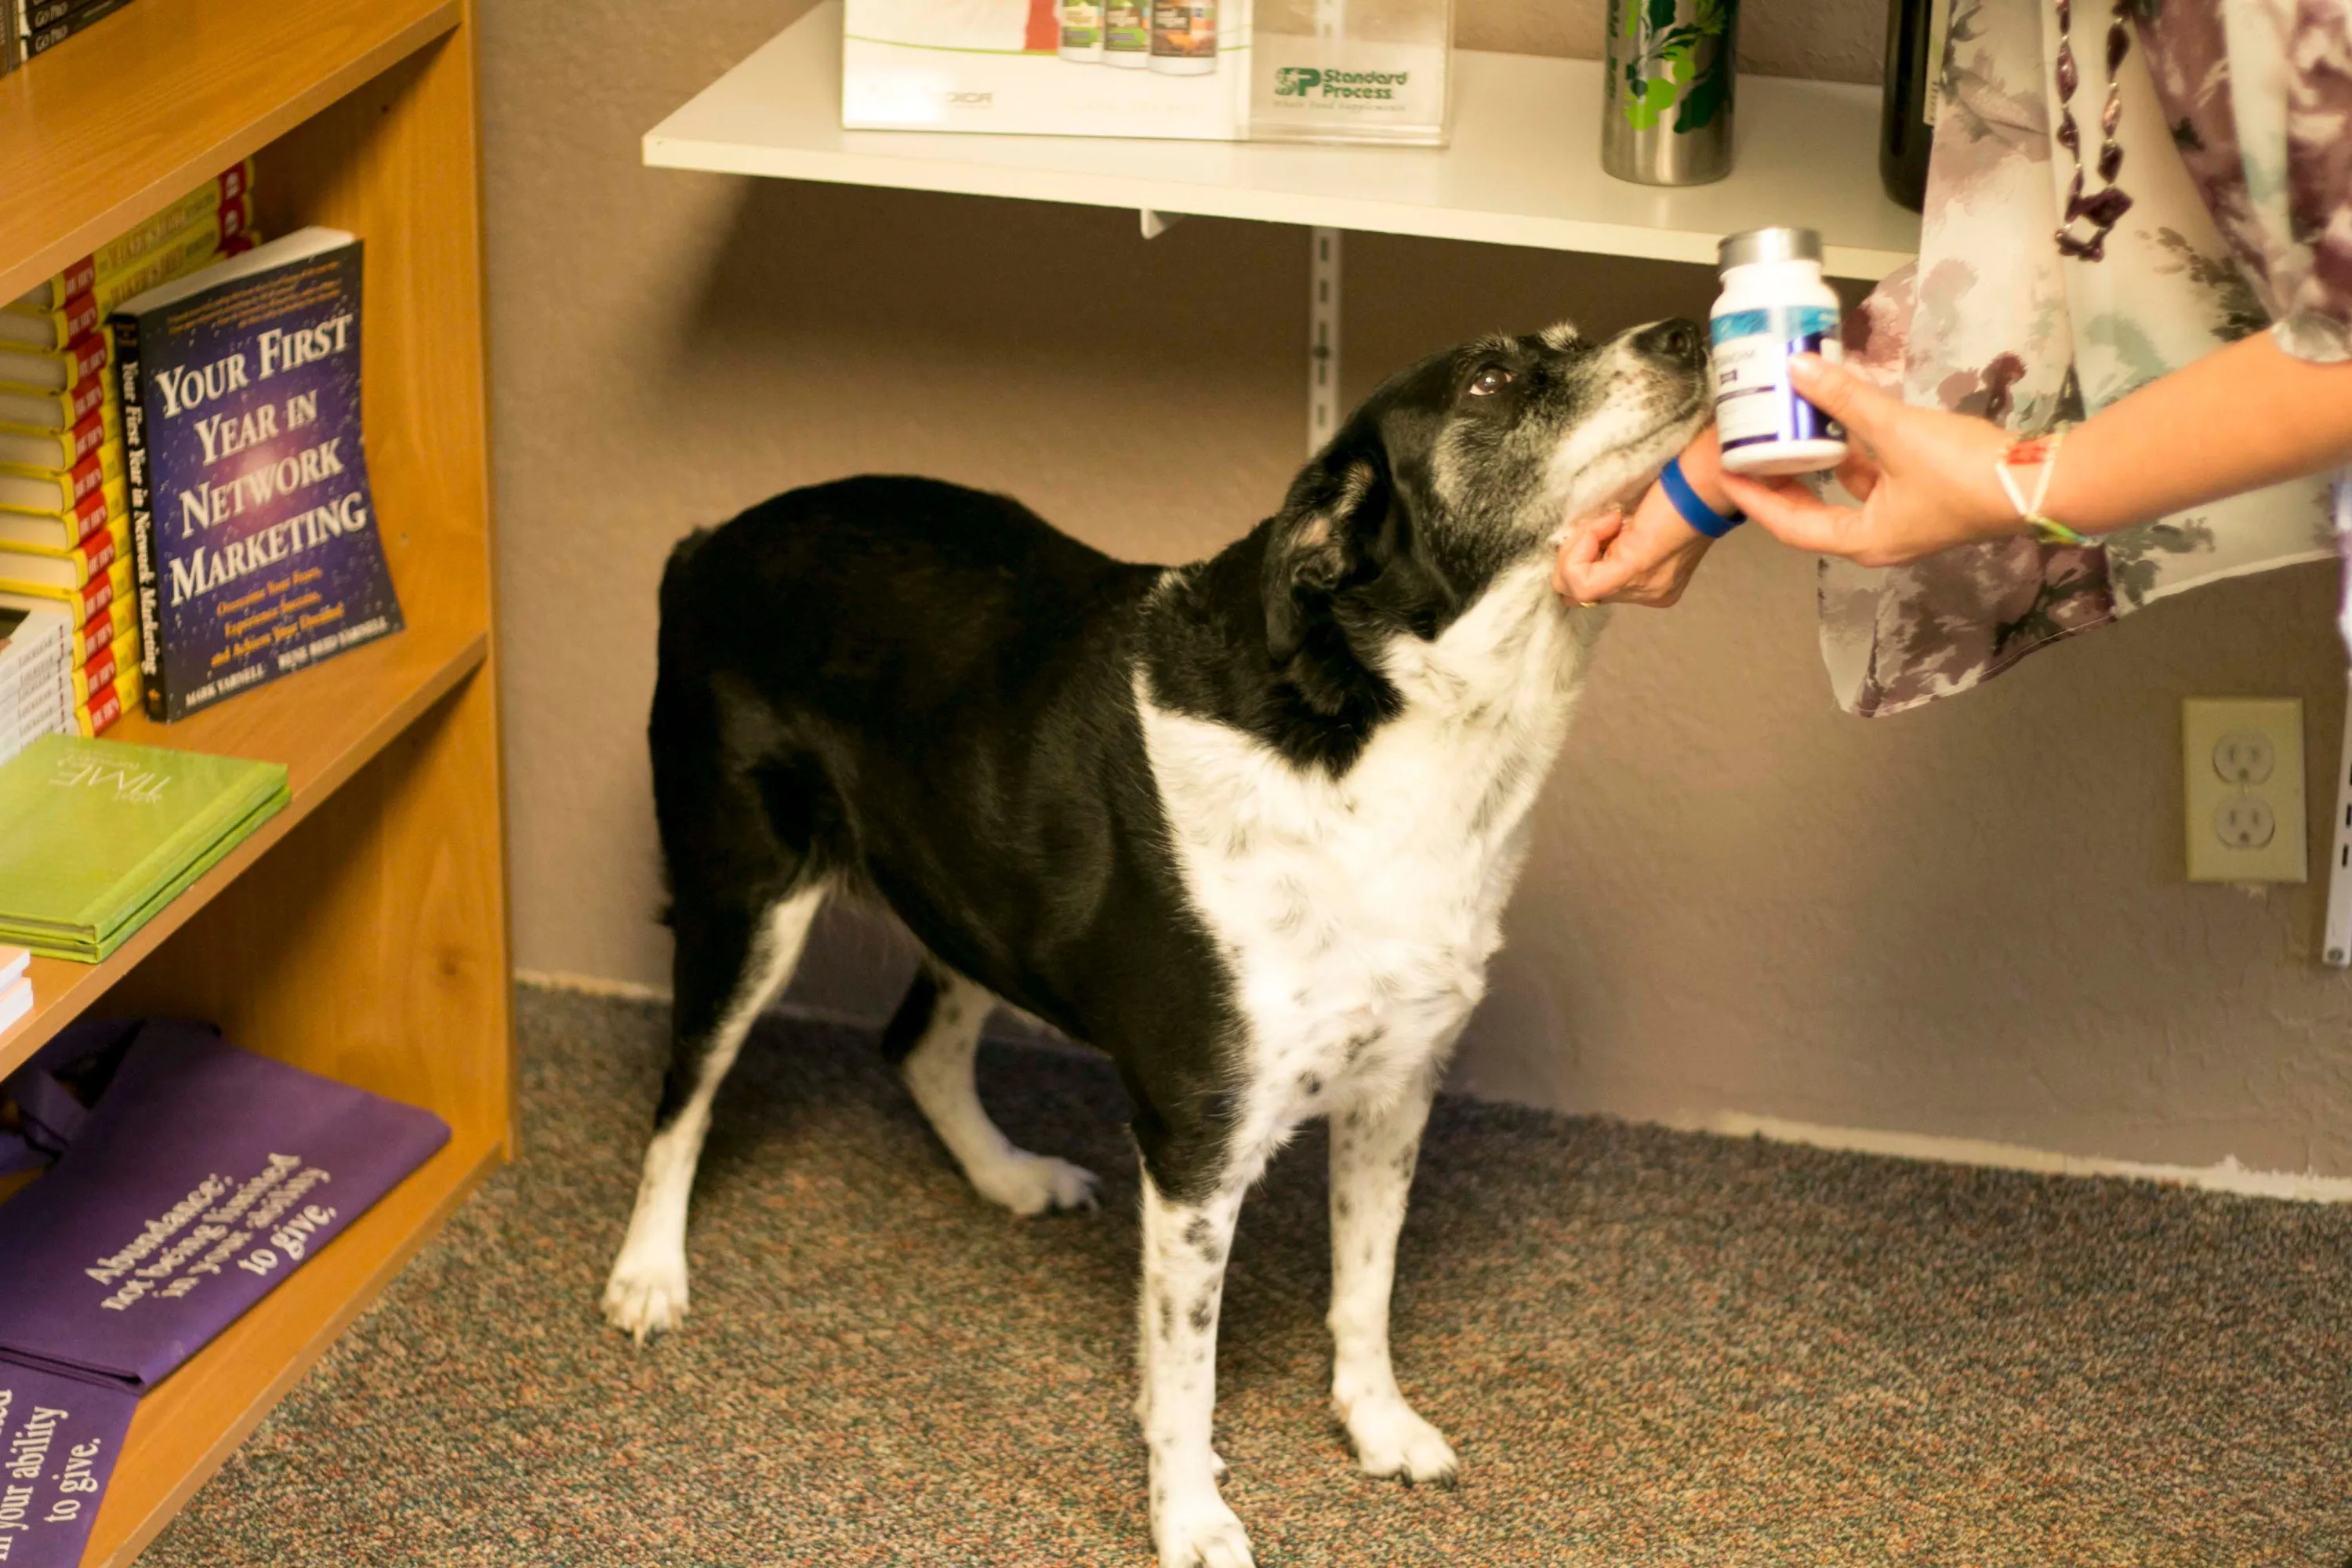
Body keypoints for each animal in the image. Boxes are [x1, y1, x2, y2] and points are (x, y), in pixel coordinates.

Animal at [607, 314, 1712, 1561]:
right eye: (1492, 378)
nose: (1687, 328)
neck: (1396, 734)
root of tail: (707, 543)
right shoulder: (1197, 1142)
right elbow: (1190, 1372)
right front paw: (1190, 1516)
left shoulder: (1393, 1091)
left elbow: (1363, 1289)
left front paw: (1377, 1426)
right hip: (746, 903)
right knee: (683, 1097)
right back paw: (647, 1274)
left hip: (978, 888)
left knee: (916, 1045)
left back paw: (1008, 1176)